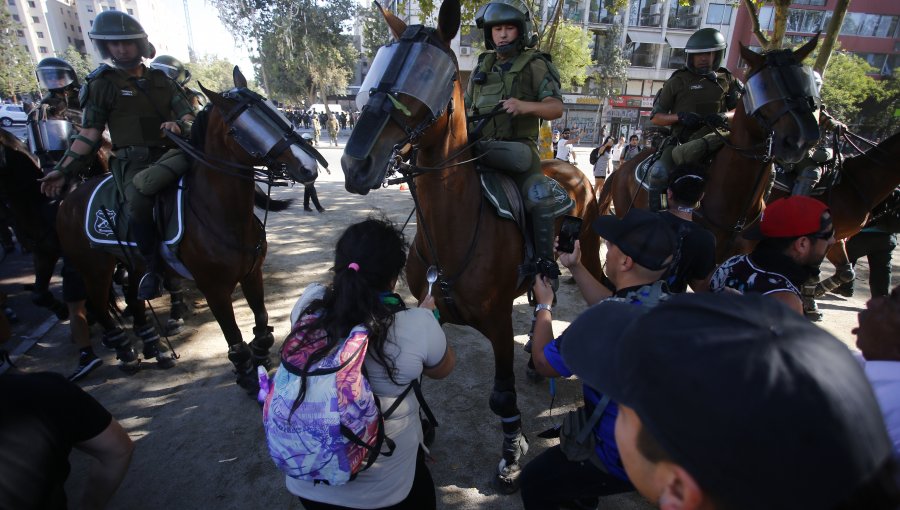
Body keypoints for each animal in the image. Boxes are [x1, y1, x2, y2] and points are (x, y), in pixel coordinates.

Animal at [57, 68, 324, 390]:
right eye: (245, 130)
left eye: (277, 112)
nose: (309, 166)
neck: (223, 215)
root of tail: (70, 198)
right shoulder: (214, 288)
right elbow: (232, 333)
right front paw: (246, 372)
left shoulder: (251, 273)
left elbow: (261, 317)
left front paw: (260, 351)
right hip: (94, 268)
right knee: (98, 305)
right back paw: (127, 353)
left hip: (132, 263)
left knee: (135, 298)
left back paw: (156, 348)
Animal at [342, 0, 600, 494]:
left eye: (427, 77)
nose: (355, 163)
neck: (454, 225)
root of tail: (570, 168)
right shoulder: (430, 310)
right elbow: (417, 373)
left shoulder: (497, 322)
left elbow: (501, 396)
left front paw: (511, 454)